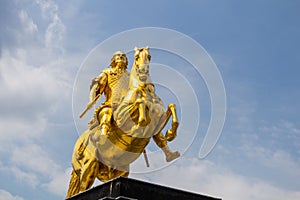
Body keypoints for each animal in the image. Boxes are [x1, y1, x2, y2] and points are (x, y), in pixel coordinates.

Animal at [66, 46, 178, 198]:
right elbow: (139, 102)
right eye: (137, 57)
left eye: (149, 56)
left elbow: (171, 108)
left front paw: (171, 134)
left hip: (120, 168)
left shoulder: (159, 120)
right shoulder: (123, 118)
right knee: (83, 188)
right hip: (89, 167)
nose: (143, 72)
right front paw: (141, 121)